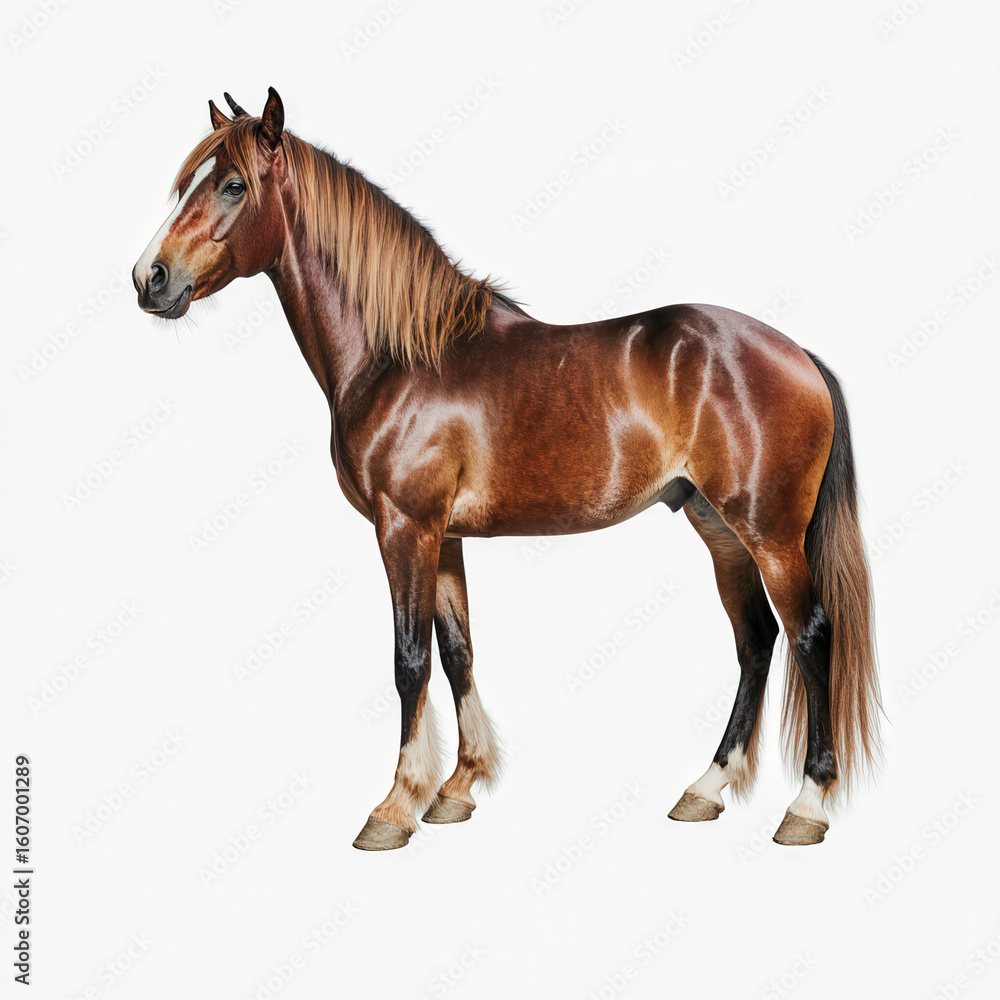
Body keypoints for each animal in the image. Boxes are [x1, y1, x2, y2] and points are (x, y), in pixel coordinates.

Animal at [133, 88, 881, 851]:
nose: (149, 278)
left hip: (771, 534)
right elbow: (457, 652)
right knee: (756, 640)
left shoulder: (405, 529)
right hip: (718, 526)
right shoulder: (443, 539)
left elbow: (409, 660)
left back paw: (807, 805)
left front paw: (394, 807)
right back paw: (706, 788)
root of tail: (798, 354)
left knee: (811, 636)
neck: (401, 357)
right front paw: (457, 788)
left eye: (232, 185)